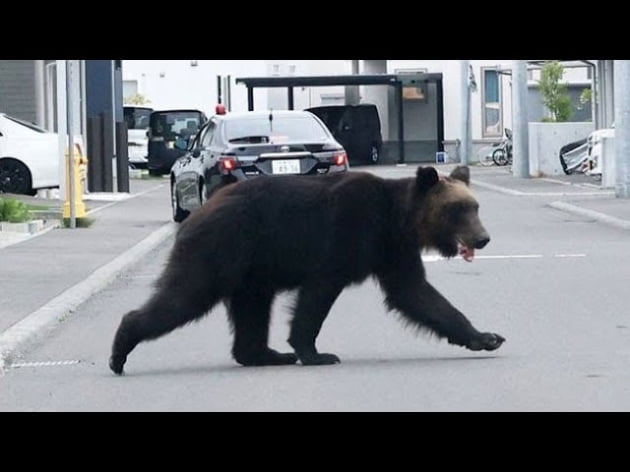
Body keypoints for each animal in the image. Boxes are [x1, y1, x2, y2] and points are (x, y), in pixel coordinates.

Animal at [107, 164, 504, 374]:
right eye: (458, 210)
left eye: (475, 206)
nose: (483, 238)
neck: (395, 220)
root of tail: (197, 212)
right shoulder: (344, 236)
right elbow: (316, 298)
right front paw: (316, 353)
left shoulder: (392, 251)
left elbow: (416, 294)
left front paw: (486, 336)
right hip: (221, 249)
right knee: (185, 295)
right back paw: (120, 350)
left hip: (253, 272)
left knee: (252, 310)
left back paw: (264, 354)